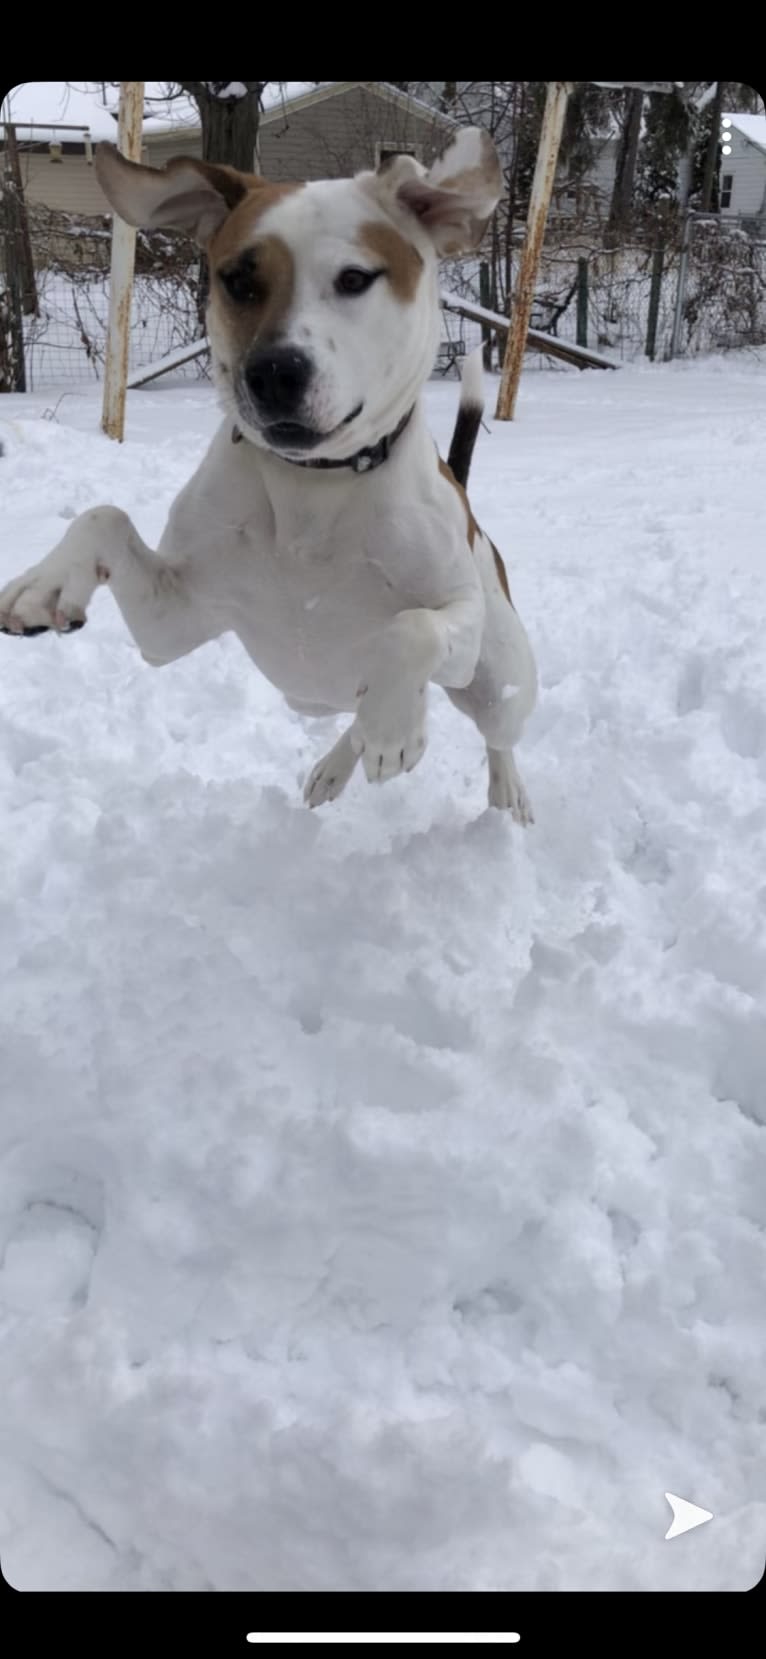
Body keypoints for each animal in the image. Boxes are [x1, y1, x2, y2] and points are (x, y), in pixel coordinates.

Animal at [0, 126, 537, 819]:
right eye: (237, 279)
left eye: (355, 278)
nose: (275, 372)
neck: (313, 486)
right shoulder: (173, 622)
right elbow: (105, 517)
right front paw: (44, 583)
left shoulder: (457, 620)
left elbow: (412, 629)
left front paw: (394, 725)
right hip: (312, 697)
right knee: (346, 720)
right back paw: (336, 767)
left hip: (498, 680)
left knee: (498, 732)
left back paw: (501, 790)